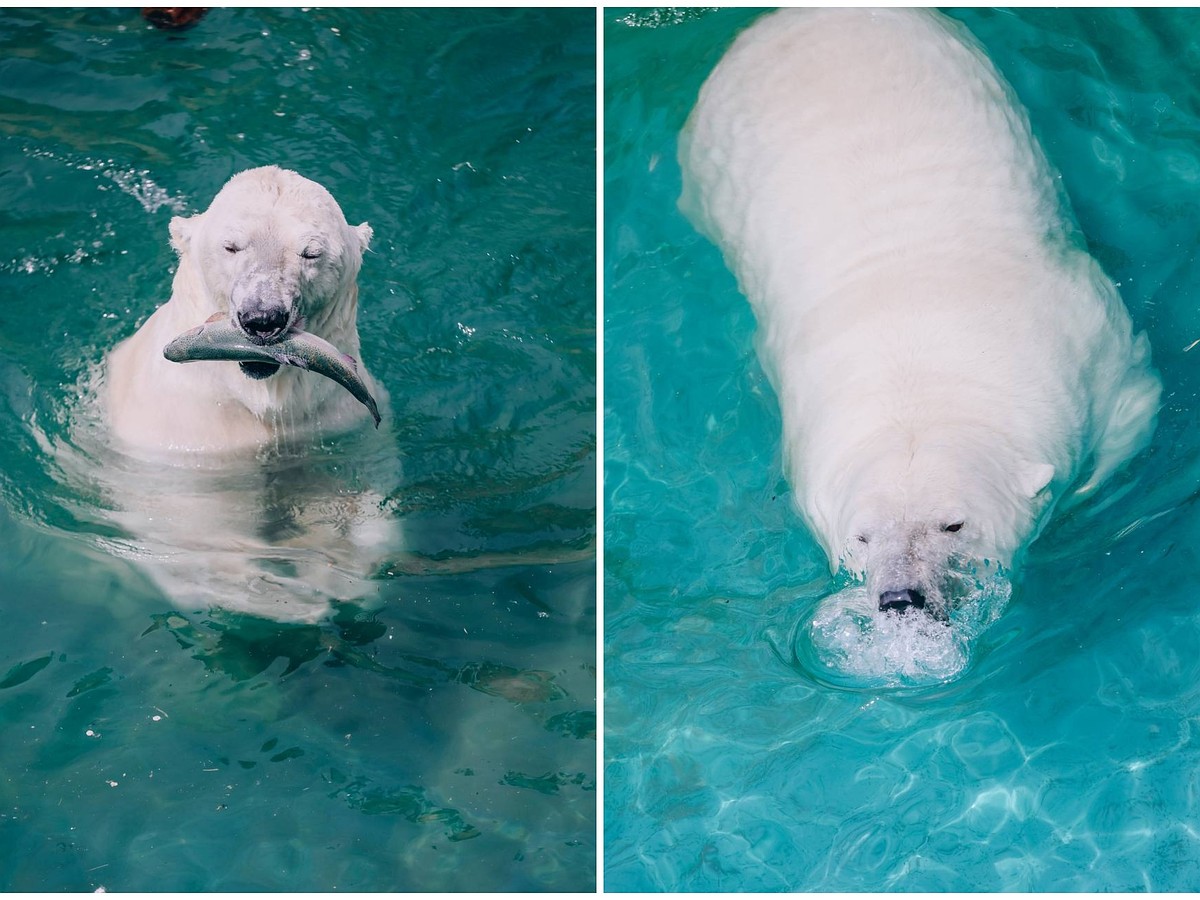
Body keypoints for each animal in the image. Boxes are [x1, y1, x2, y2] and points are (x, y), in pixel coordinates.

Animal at [681, 7, 1156, 619]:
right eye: (862, 536)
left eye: (953, 524)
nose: (900, 596)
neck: (928, 355)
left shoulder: (1091, 337)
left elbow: (1132, 406)